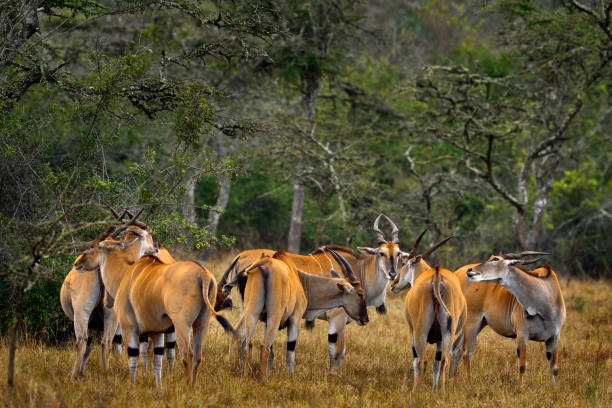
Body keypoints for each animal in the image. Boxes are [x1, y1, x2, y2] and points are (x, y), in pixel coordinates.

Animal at [59, 209, 154, 380]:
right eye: (150, 233)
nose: (156, 248)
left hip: (84, 313)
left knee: (85, 340)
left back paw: (77, 375)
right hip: (109, 315)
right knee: (104, 342)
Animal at [237, 253, 366, 380]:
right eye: (359, 293)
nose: (365, 319)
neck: (302, 280)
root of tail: (265, 265)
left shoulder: (265, 321)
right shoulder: (295, 320)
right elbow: (290, 354)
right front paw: (291, 379)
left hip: (252, 315)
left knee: (248, 346)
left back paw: (245, 377)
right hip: (274, 318)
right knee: (264, 347)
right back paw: (265, 380)